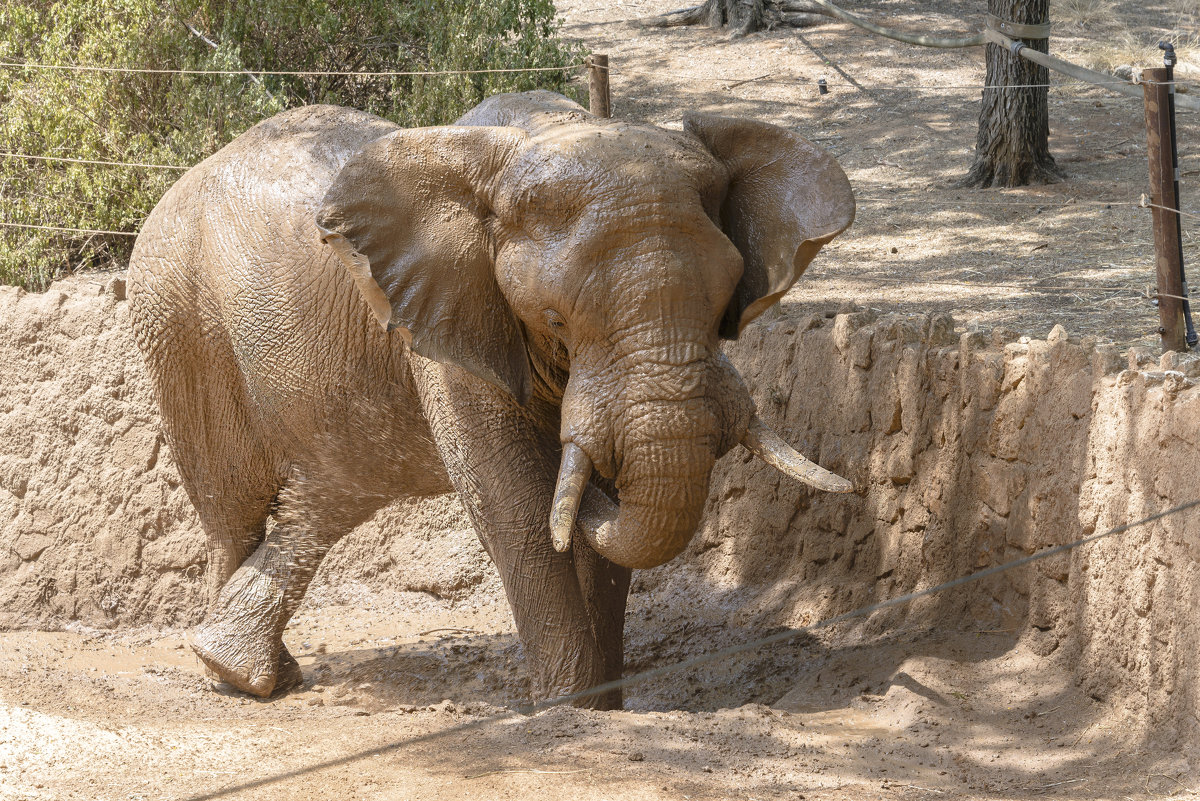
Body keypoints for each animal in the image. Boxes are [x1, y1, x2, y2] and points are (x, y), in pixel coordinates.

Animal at [126, 90, 859, 709]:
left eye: (725, 303)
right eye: (555, 317)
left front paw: (604, 707)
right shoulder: (448, 322)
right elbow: (514, 499)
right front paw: (566, 710)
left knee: (328, 493)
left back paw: (252, 667)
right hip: (180, 320)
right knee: (235, 507)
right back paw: (234, 677)